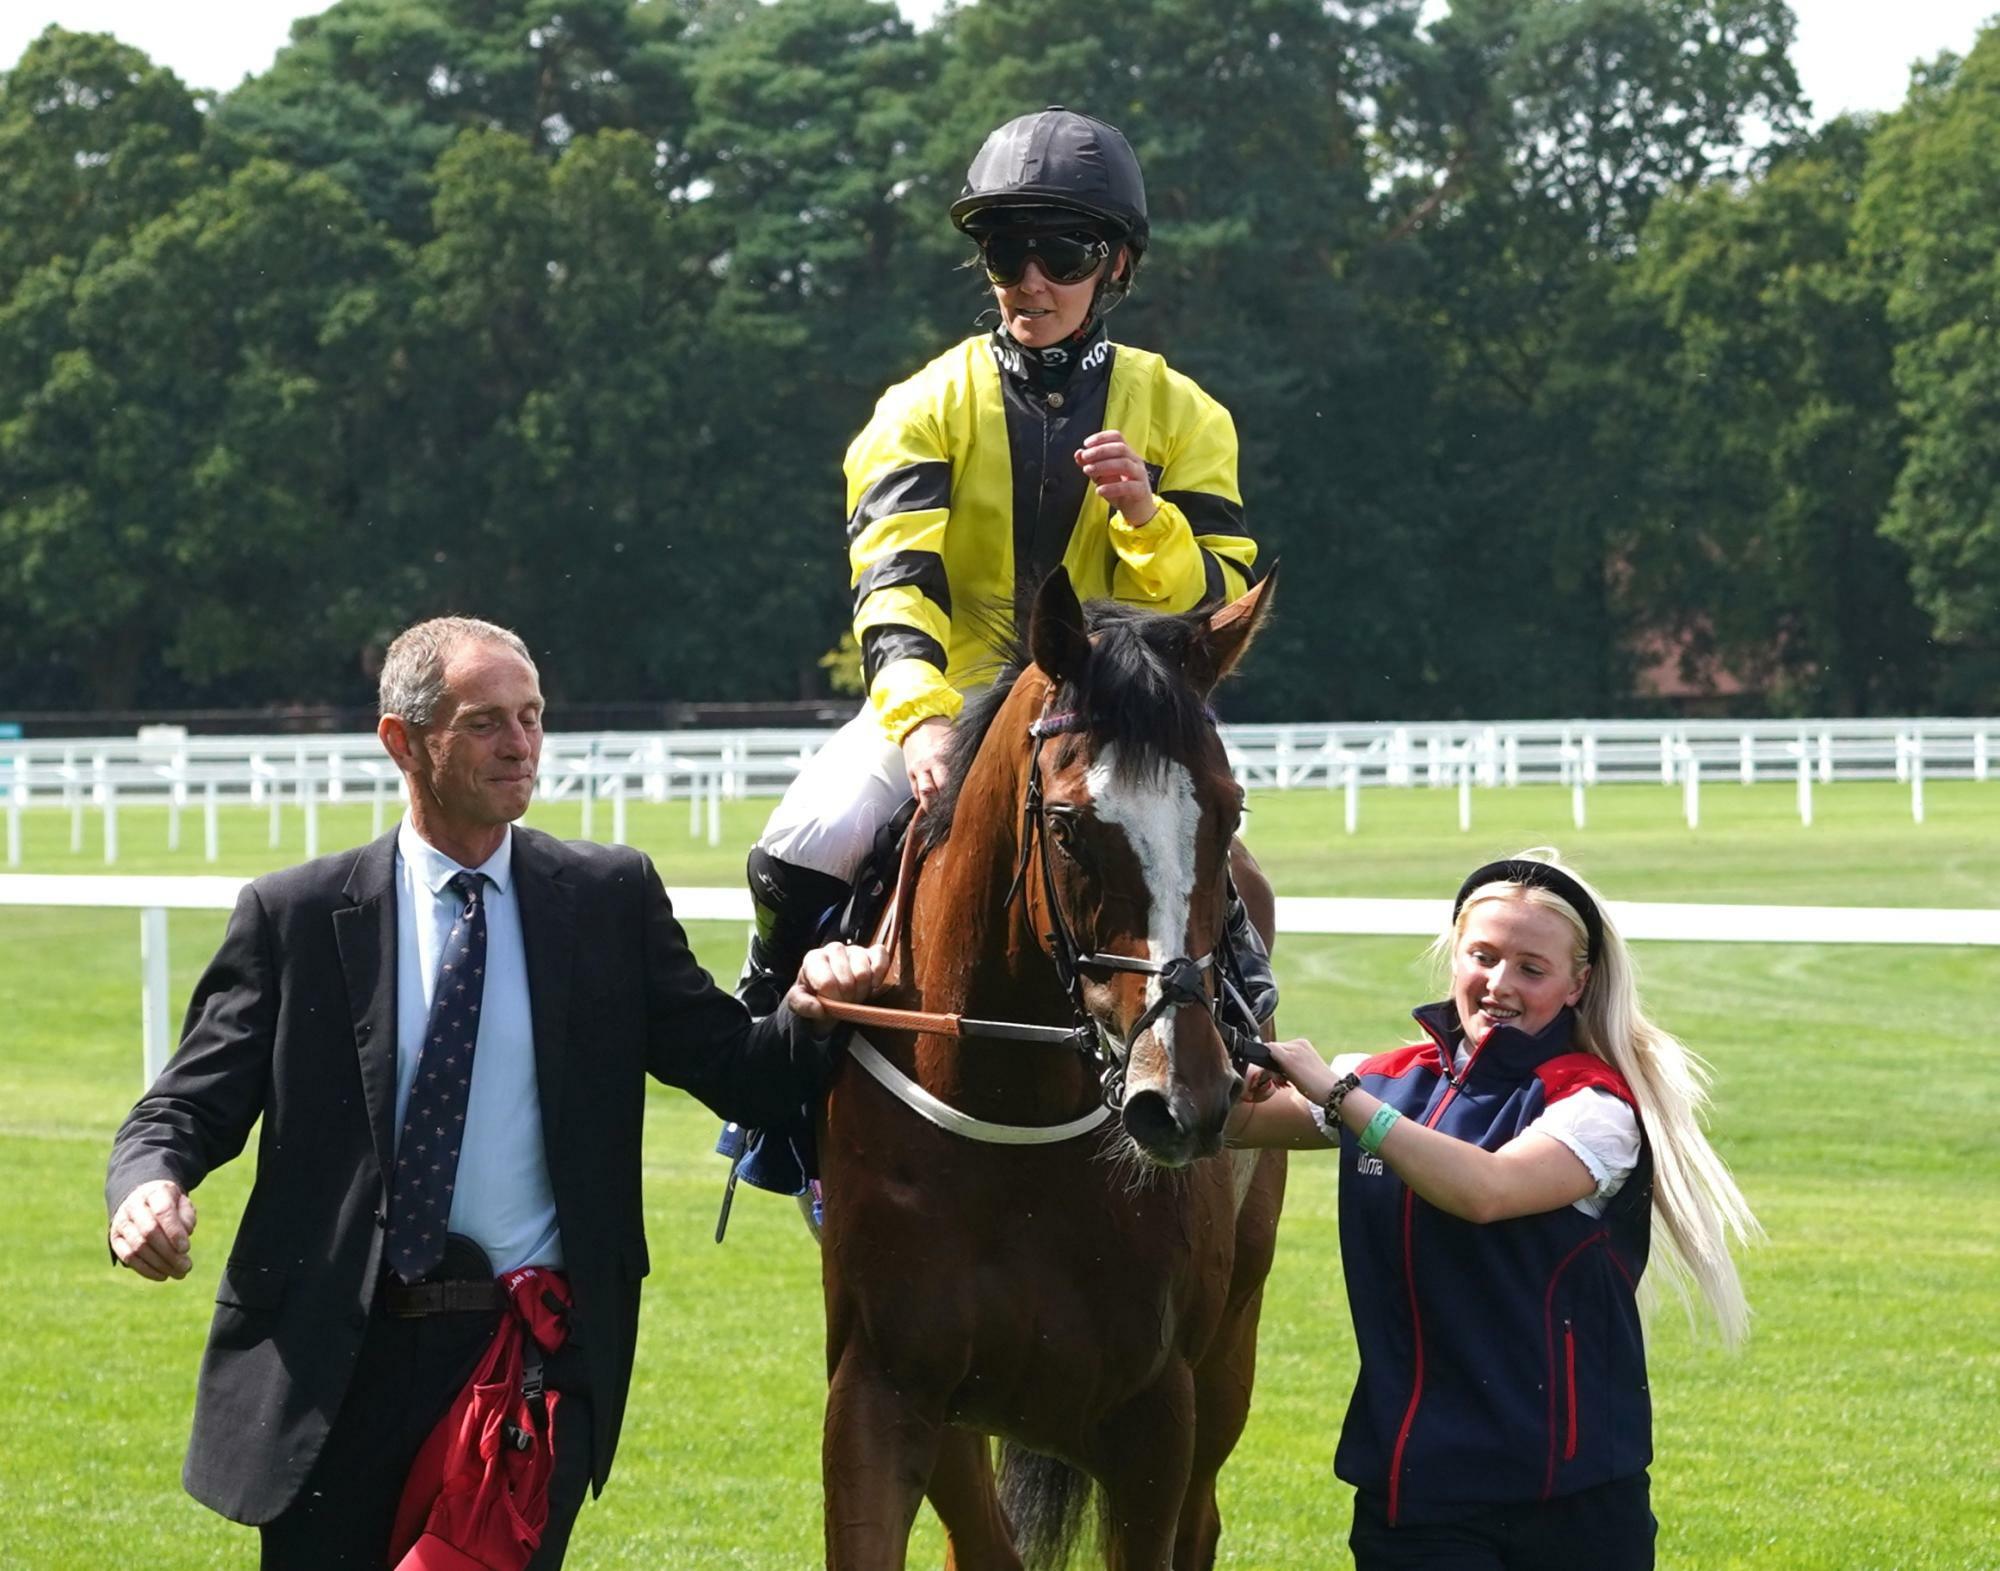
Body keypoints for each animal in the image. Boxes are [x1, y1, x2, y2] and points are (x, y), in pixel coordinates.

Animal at [820, 567, 1288, 1567]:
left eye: (1228, 811)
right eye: (1070, 827)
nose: (1183, 1098)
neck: (1010, 1111)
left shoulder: (1157, 1416)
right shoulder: (885, 1386)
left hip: (1228, 1356)